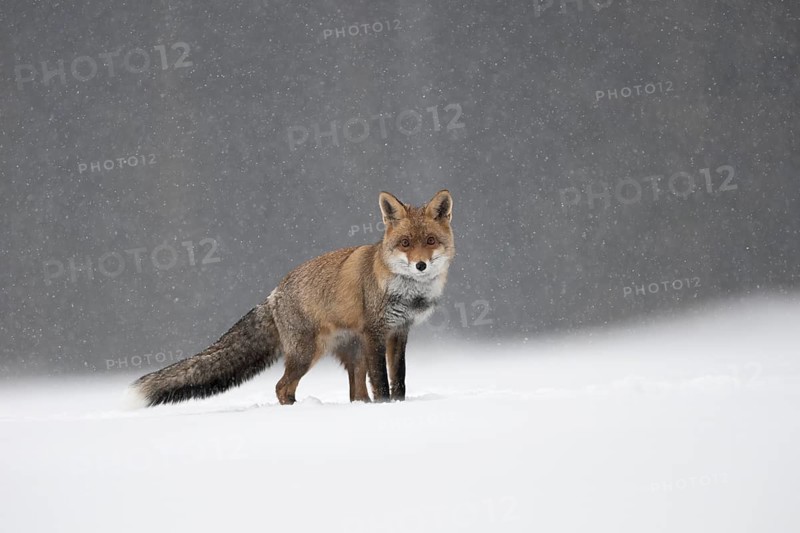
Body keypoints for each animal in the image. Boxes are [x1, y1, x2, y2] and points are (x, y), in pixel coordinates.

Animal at [128, 190, 454, 407]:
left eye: (430, 241)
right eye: (405, 243)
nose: (421, 265)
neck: (409, 293)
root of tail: (274, 293)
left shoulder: (399, 332)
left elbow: (398, 379)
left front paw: (399, 407)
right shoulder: (376, 332)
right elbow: (383, 384)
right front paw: (387, 409)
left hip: (352, 352)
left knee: (356, 393)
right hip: (307, 354)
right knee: (282, 387)